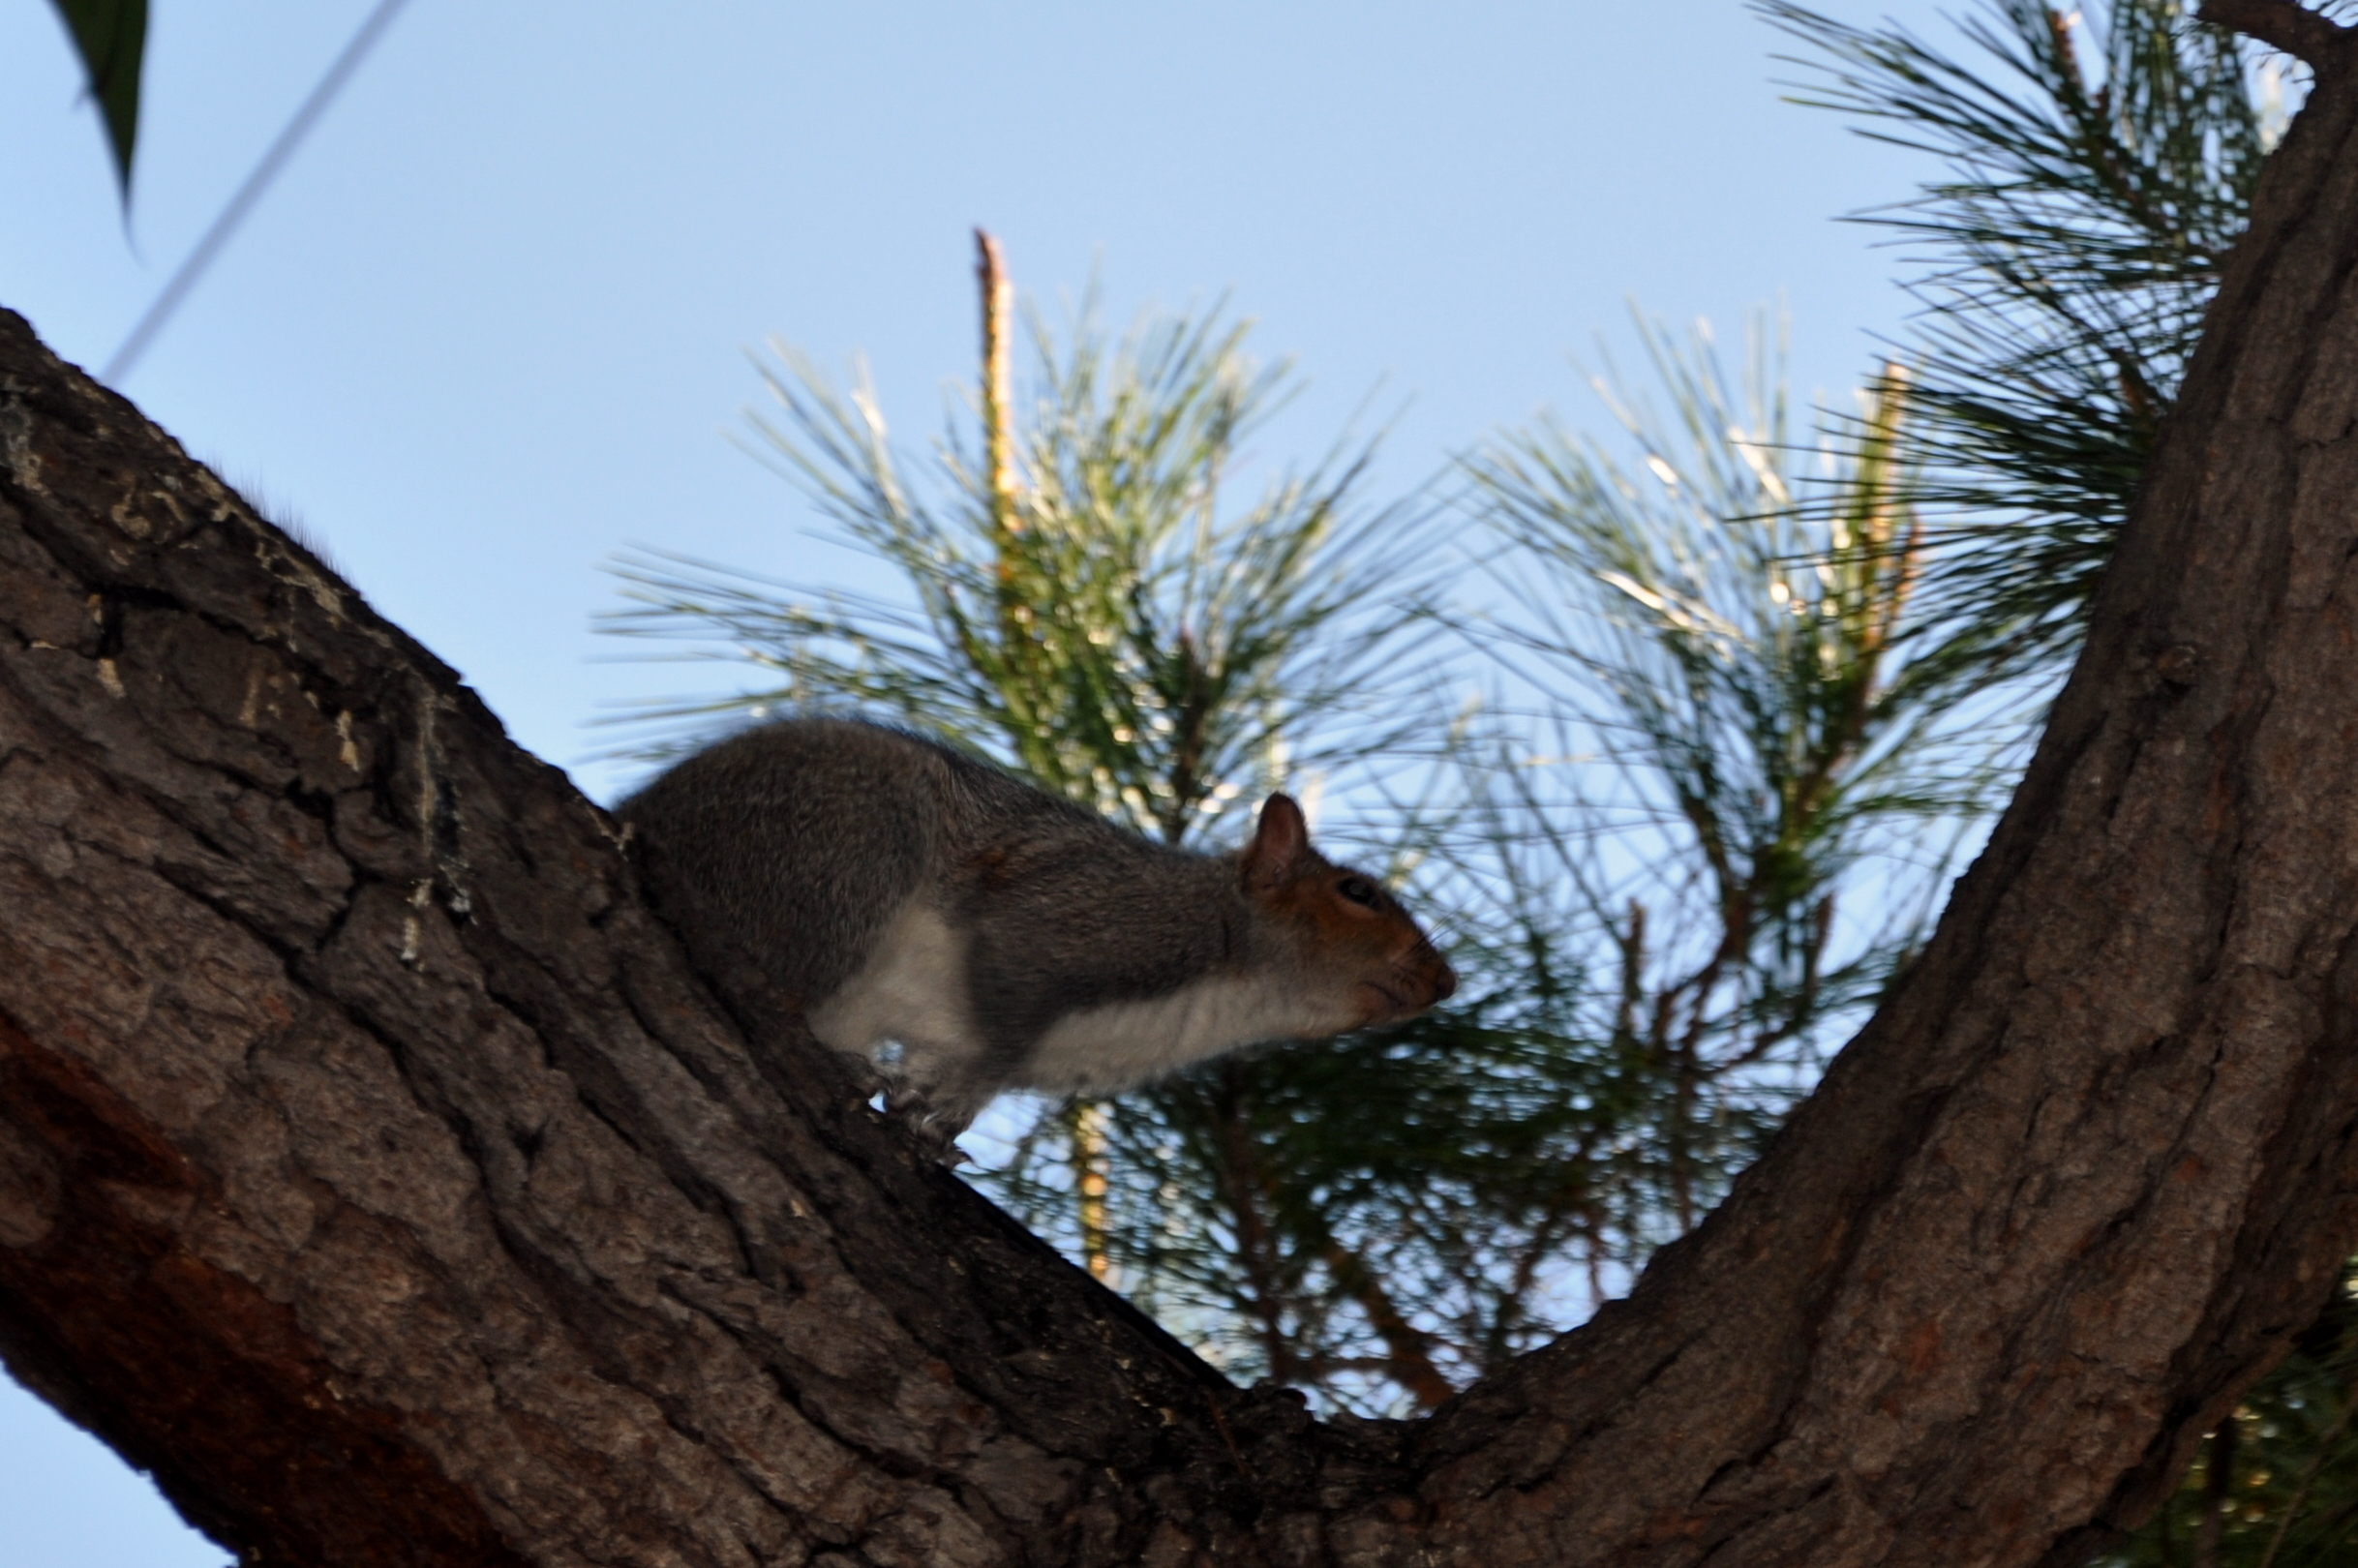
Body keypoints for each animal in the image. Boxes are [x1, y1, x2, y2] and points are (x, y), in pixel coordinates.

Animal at [619, 717, 1456, 1138]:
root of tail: (640, 814)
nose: (1446, 981)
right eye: (1357, 892)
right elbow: (1003, 1029)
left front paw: (942, 1111)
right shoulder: (1075, 922)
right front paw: (948, 1101)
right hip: (842, 855)